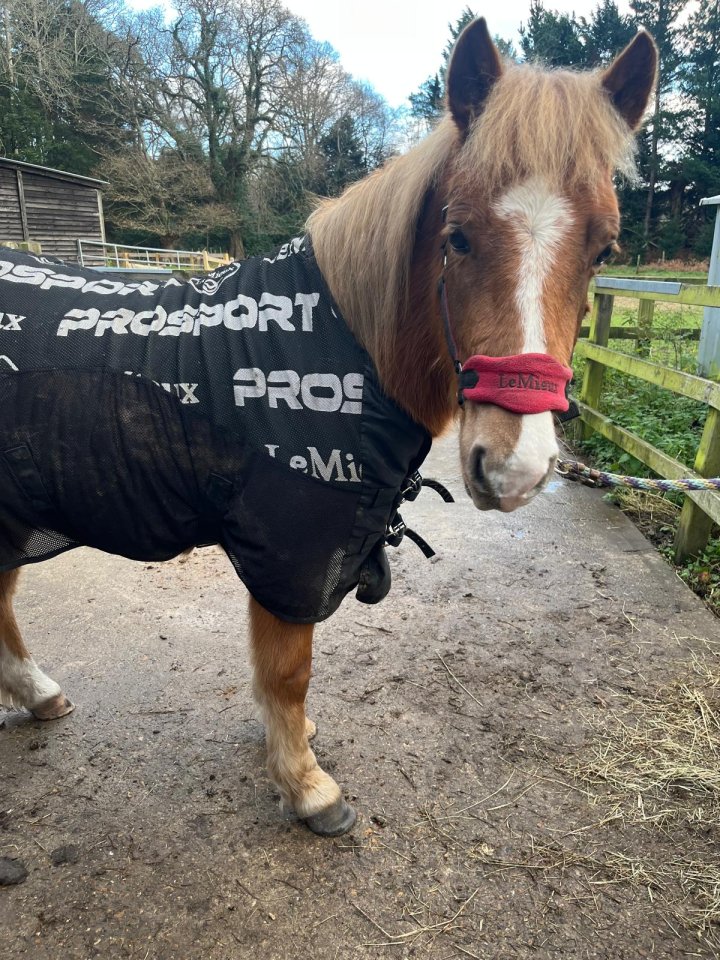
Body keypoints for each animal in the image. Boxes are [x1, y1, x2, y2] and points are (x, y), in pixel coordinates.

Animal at [0, 19, 656, 836]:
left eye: (604, 249)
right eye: (459, 236)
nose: (515, 469)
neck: (334, 343)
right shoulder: (290, 552)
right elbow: (288, 671)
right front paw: (307, 785)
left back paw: (39, 694)